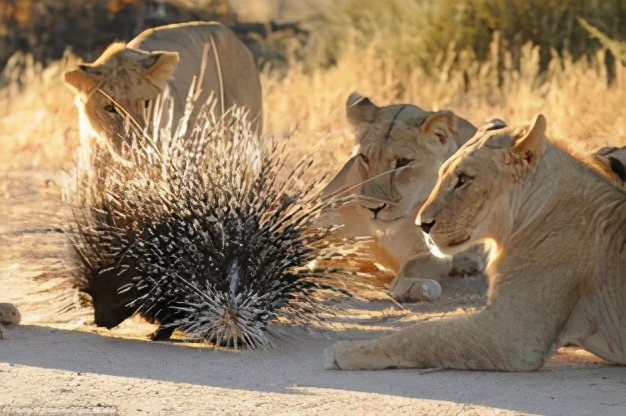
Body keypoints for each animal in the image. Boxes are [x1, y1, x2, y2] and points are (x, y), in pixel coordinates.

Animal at [322, 93, 502, 302]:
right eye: (365, 158)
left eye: (403, 162)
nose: (373, 208)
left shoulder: (428, 252)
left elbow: (416, 265)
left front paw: (415, 288)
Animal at [324, 114, 624, 370]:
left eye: (464, 179)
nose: (422, 225)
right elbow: (430, 328)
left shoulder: (514, 336)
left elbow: (423, 334)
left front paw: (348, 350)